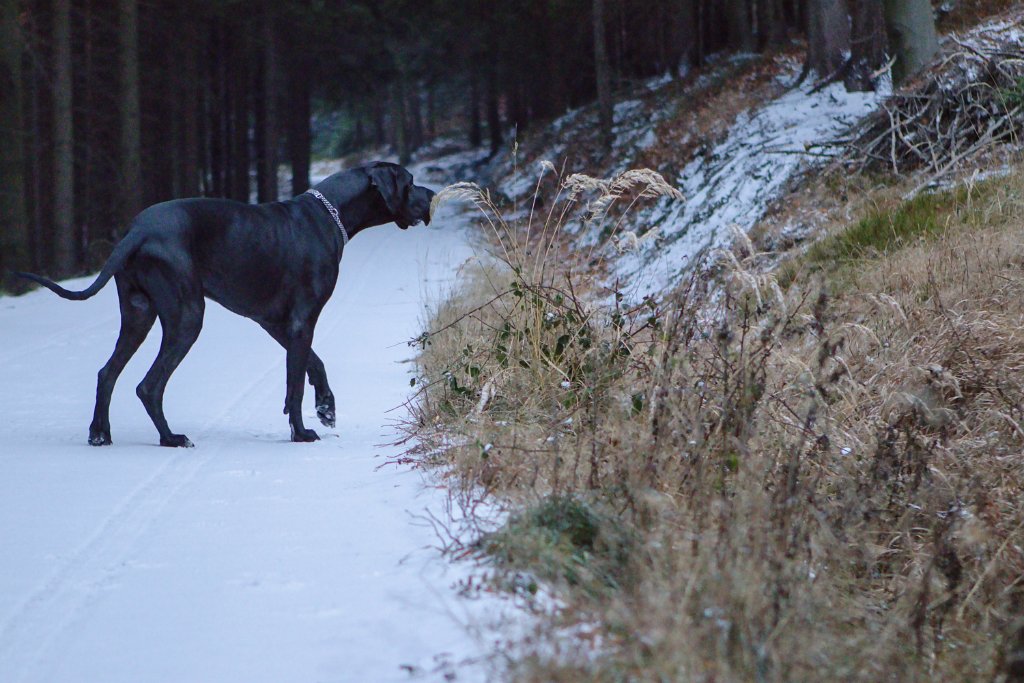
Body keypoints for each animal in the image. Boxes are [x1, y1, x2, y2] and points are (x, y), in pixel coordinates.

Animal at [17, 161, 432, 448]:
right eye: (410, 182)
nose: (430, 197)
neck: (327, 215)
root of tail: (138, 230)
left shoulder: (275, 321)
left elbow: (314, 362)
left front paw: (327, 406)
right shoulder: (302, 320)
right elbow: (295, 383)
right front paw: (301, 432)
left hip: (138, 315)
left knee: (107, 373)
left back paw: (100, 433)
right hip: (186, 317)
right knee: (148, 386)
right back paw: (171, 438)